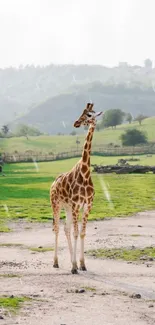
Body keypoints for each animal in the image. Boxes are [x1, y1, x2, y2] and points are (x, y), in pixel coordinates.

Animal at [50, 102, 102, 272]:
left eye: (89, 115)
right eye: (82, 113)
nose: (76, 123)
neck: (85, 173)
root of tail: (53, 183)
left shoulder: (87, 205)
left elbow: (82, 233)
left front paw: (82, 264)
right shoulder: (76, 205)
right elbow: (76, 232)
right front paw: (74, 266)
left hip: (67, 207)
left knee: (66, 228)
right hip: (56, 204)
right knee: (57, 228)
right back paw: (56, 262)